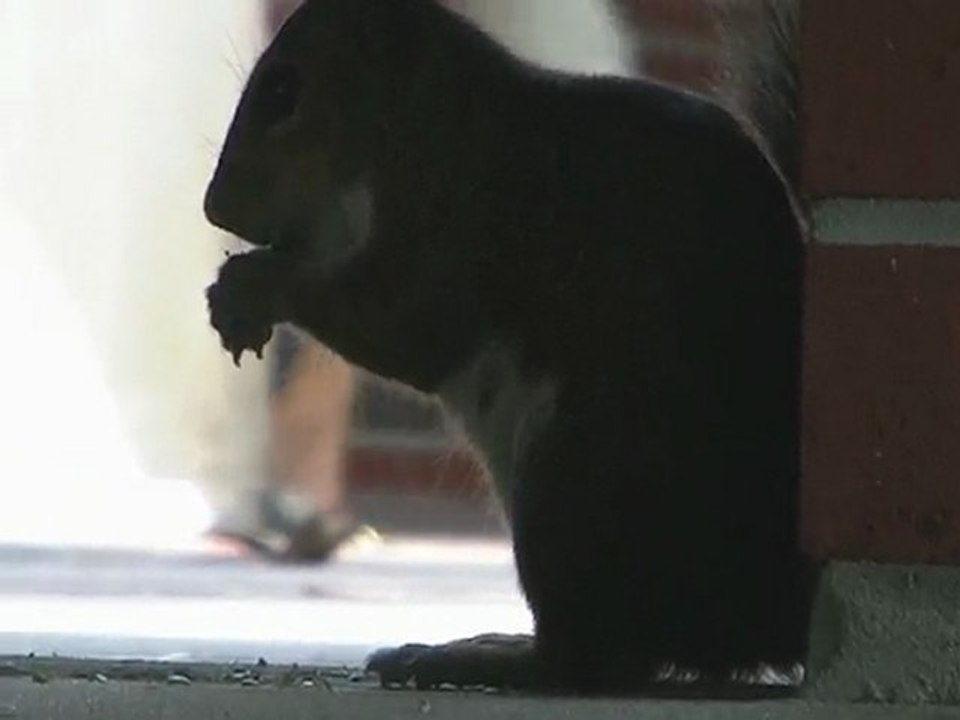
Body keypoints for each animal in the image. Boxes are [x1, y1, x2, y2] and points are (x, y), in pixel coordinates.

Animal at [205, 0, 814, 694]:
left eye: (283, 92)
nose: (216, 209)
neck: (437, 123)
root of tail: (772, 601)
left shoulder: (460, 226)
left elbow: (402, 324)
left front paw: (256, 284)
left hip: (574, 475)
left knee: (592, 659)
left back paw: (479, 654)